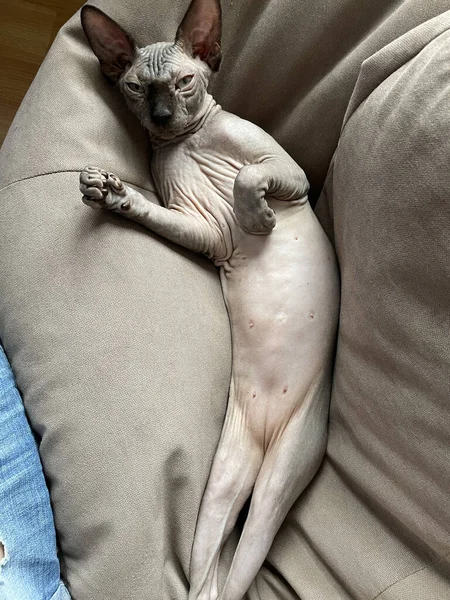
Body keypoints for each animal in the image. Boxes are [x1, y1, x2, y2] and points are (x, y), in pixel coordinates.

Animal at [80, 2, 338, 596]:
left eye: (184, 82)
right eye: (135, 87)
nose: (161, 117)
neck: (190, 142)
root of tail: (263, 433)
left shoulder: (289, 172)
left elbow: (247, 175)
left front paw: (259, 219)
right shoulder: (203, 231)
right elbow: (156, 211)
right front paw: (112, 194)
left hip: (279, 476)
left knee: (243, 554)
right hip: (223, 485)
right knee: (210, 574)